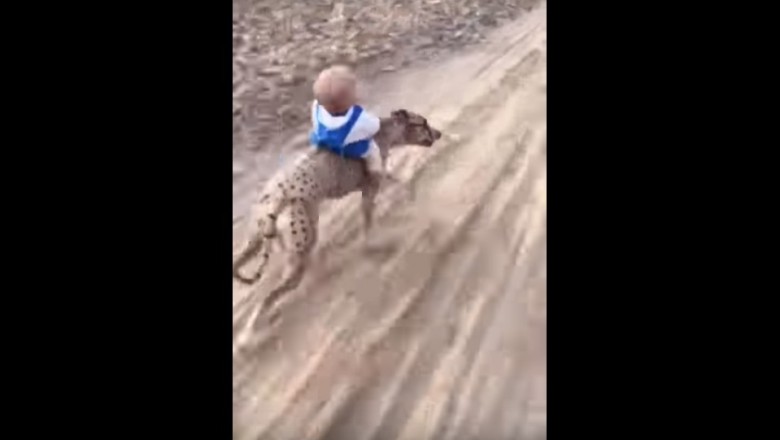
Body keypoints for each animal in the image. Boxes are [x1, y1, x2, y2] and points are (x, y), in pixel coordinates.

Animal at [232, 109, 442, 314]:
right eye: (422, 123)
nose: (439, 133)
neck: (383, 130)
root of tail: (278, 197)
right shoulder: (369, 191)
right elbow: (369, 222)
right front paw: (375, 244)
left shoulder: (376, 181)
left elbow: (401, 182)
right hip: (301, 253)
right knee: (267, 300)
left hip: (257, 241)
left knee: (238, 266)